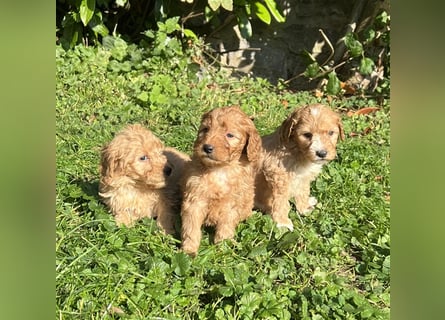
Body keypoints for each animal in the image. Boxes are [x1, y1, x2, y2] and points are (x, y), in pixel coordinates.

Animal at [180, 106, 262, 256]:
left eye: (229, 135)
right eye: (206, 129)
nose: (207, 147)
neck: (219, 169)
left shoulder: (232, 204)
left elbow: (226, 225)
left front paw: (222, 248)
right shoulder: (194, 200)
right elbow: (191, 227)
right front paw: (189, 250)